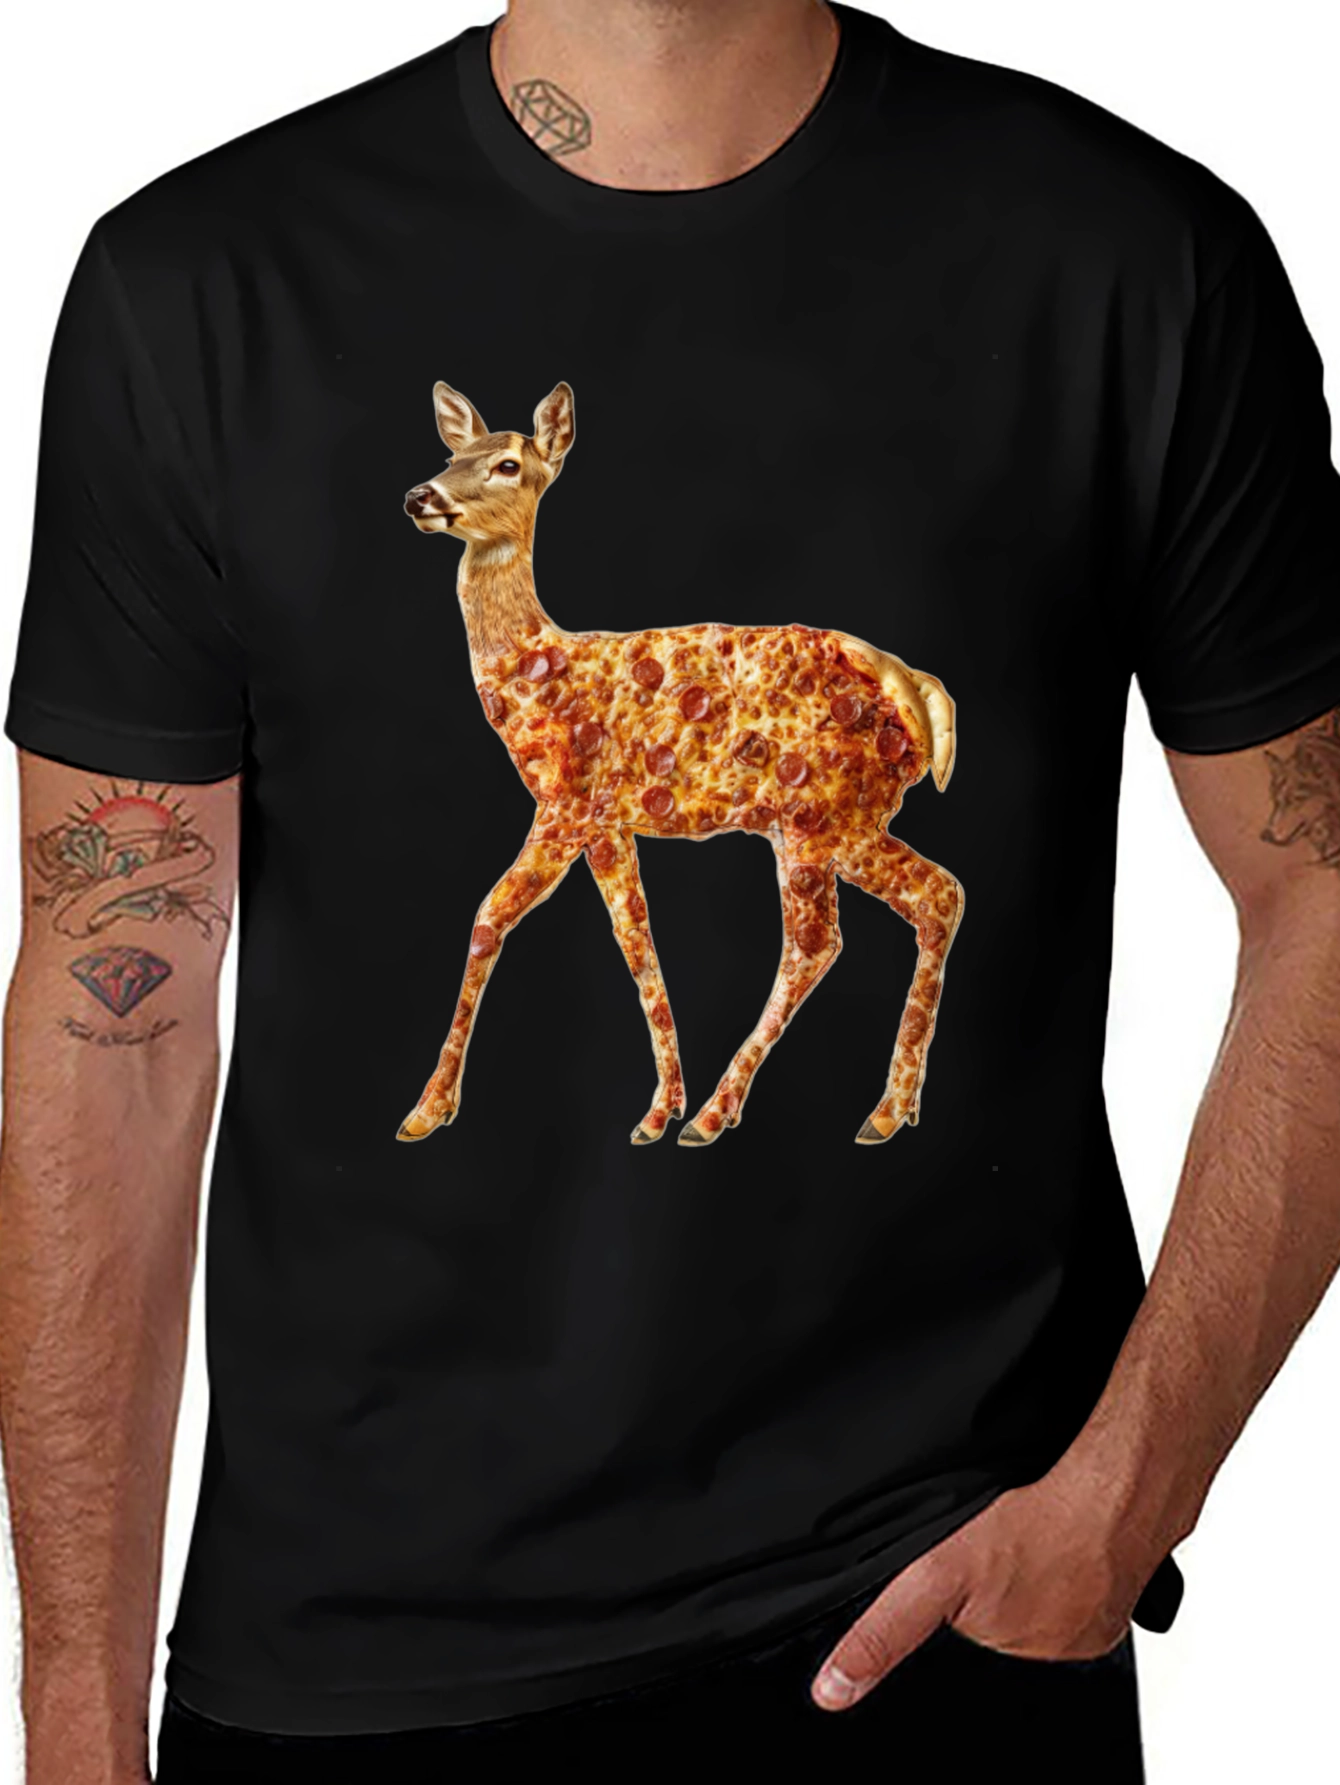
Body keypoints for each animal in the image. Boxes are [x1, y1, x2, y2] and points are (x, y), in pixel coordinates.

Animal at [398, 380, 963, 1148]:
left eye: (508, 463)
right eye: (453, 454)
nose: (420, 495)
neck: (537, 674)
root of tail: (921, 692)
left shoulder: (567, 802)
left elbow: (489, 916)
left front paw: (427, 1109)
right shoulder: (608, 823)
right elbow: (637, 941)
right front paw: (656, 1109)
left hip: (823, 813)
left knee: (832, 936)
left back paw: (742, 1113)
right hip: (833, 821)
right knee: (925, 901)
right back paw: (888, 1107)